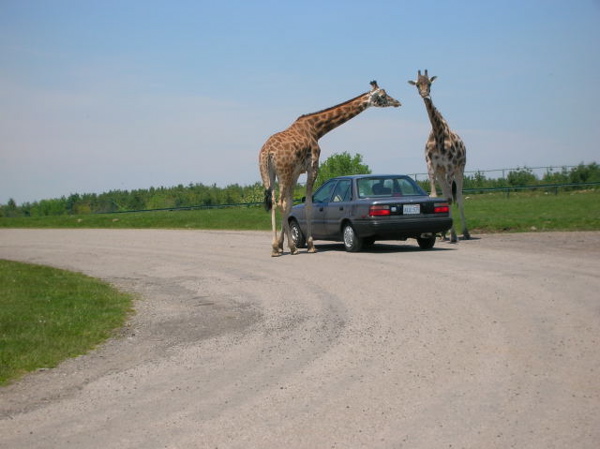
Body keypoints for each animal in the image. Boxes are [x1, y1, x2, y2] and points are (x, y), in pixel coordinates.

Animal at [256, 80, 398, 256]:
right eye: (383, 95)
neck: (316, 129)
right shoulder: (312, 167)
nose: (397, 102)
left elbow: (289, 205)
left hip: (269, 174)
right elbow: (307, 204)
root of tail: (267, 152)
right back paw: (292, 248)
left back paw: (275, 248)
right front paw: (309, 245)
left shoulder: (296, 172)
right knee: (280, 202)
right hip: (283, 172)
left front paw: (281, 245)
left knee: (274, 202)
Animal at [410, 70, 472, 243]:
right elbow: (435, 195)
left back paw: (465, 233)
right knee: (446, 194)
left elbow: (450, 199)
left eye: (429, 83)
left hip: (460, 169)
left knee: (458, 197)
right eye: (418, 84)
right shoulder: (431, 165)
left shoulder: (450, 166)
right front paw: (442, 233)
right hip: (441, 172)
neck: (438, 134)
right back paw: (444, 234)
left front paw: (453, 236)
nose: (425, 95)